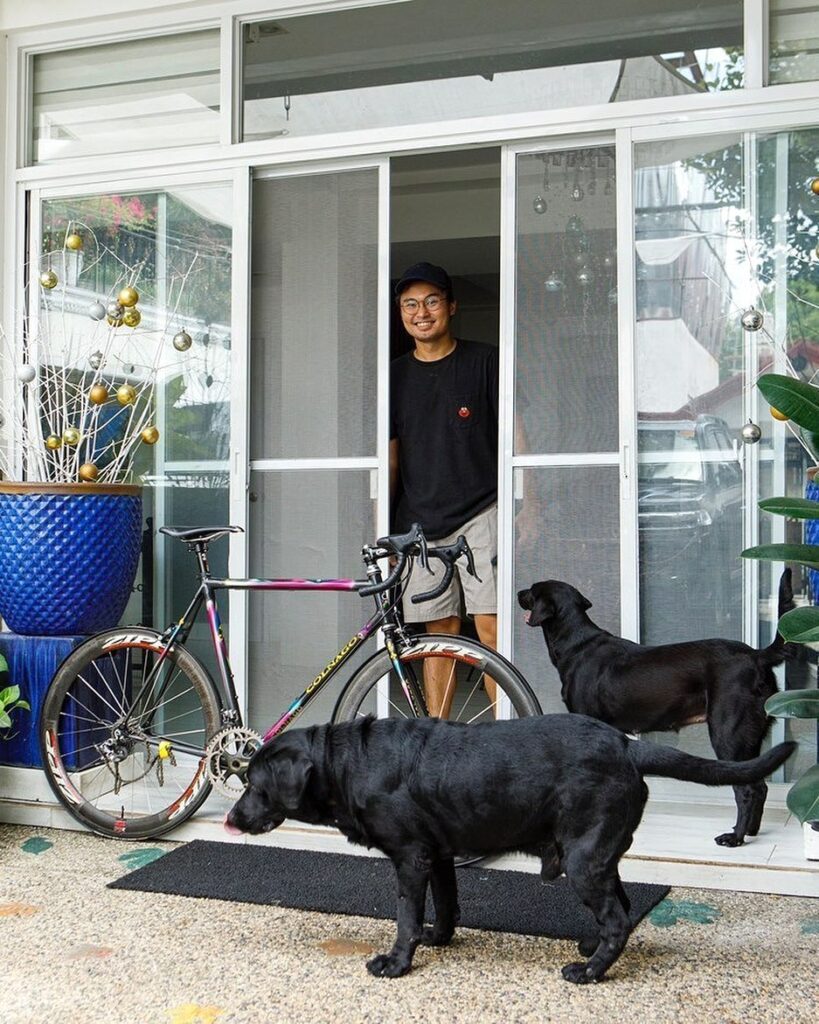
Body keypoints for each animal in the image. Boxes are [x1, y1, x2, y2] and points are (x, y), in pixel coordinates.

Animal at [225, 712, 794, 983]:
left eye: (255, 784)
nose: (230, 819)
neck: (348, 763)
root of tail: (627, 745)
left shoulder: (410, 857)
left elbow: (405, 916)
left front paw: (397, 962)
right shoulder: (438, 854)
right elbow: (447, 904)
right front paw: (439, 939)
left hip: (584, 859)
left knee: (616, 917)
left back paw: (589, 973)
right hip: (599, 854)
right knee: (623, 906)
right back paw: (591, 951)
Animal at [518, 577, 794, 847]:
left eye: (532, 591)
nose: (519, 592)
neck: (577, 643)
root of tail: (756, 656)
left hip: (728, 733)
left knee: (747, 790)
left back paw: (735, 837)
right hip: (749, 736)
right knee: (759, 784)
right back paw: (751, 830)